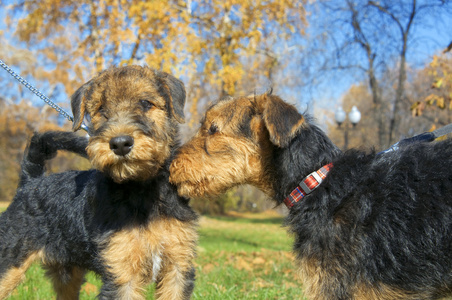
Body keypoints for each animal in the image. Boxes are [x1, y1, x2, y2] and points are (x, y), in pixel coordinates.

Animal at [0, 66, 198, 300]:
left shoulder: (177, 267)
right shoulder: (122, 273)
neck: (141, 189)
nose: (120, 143)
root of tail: (31, 182)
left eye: (145, 103)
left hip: (68, 273)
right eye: (101, 108)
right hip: (10, 261)